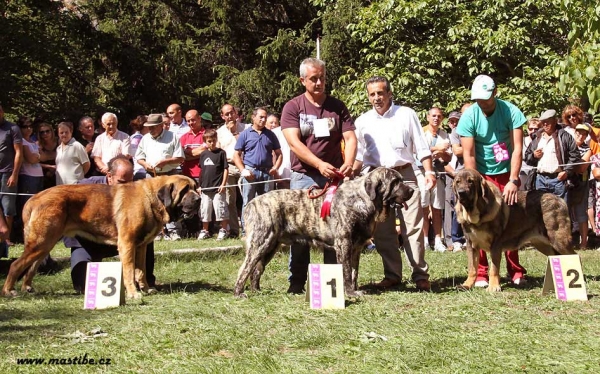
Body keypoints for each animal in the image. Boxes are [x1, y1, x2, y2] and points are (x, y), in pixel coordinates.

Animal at [2, 174, 199, 300]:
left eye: (196, 188)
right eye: (184, 190)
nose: (198, 199)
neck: (151, 199)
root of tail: (33, 198)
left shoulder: (141, 246)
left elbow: (140, 270)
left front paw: (146, 288)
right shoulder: (127, 244)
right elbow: (129, 271)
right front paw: (133, 293)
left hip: (45, 244)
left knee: (32, 266)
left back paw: (27, 287)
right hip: (41, 242)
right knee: (16, 265)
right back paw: (8, 291)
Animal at [232, 167, 414, 298]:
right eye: (395, 182)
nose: (411, 191)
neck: (362, 200)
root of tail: (251, 204)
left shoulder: (357, 247)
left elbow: (354, 272)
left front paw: (355, 290)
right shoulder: (344, 244)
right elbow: (346, 271)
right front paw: (350, 293)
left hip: (271, 245)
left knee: (256, 270)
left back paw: (256, 291)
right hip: (260, 242)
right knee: (245, 268)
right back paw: (239, 292)